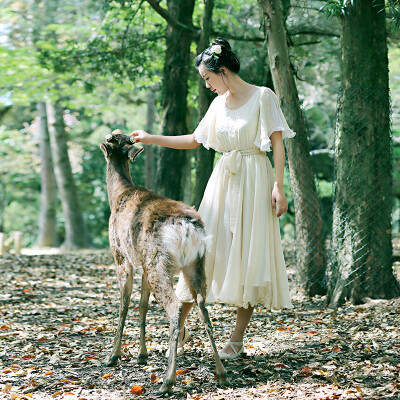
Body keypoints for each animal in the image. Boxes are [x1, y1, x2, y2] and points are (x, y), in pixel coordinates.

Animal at [99, 130, 228, 394]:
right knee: (203, 306)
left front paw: (113, 356)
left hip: (158, 262)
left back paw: (167, 381)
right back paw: (221, 373)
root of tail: (187, 227)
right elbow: (142, 306)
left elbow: (124, 306)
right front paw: (142, 355)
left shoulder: (122, 257)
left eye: (113, 136)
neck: (117, 196)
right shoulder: (142, 264)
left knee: (176, 307)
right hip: (194, 263)